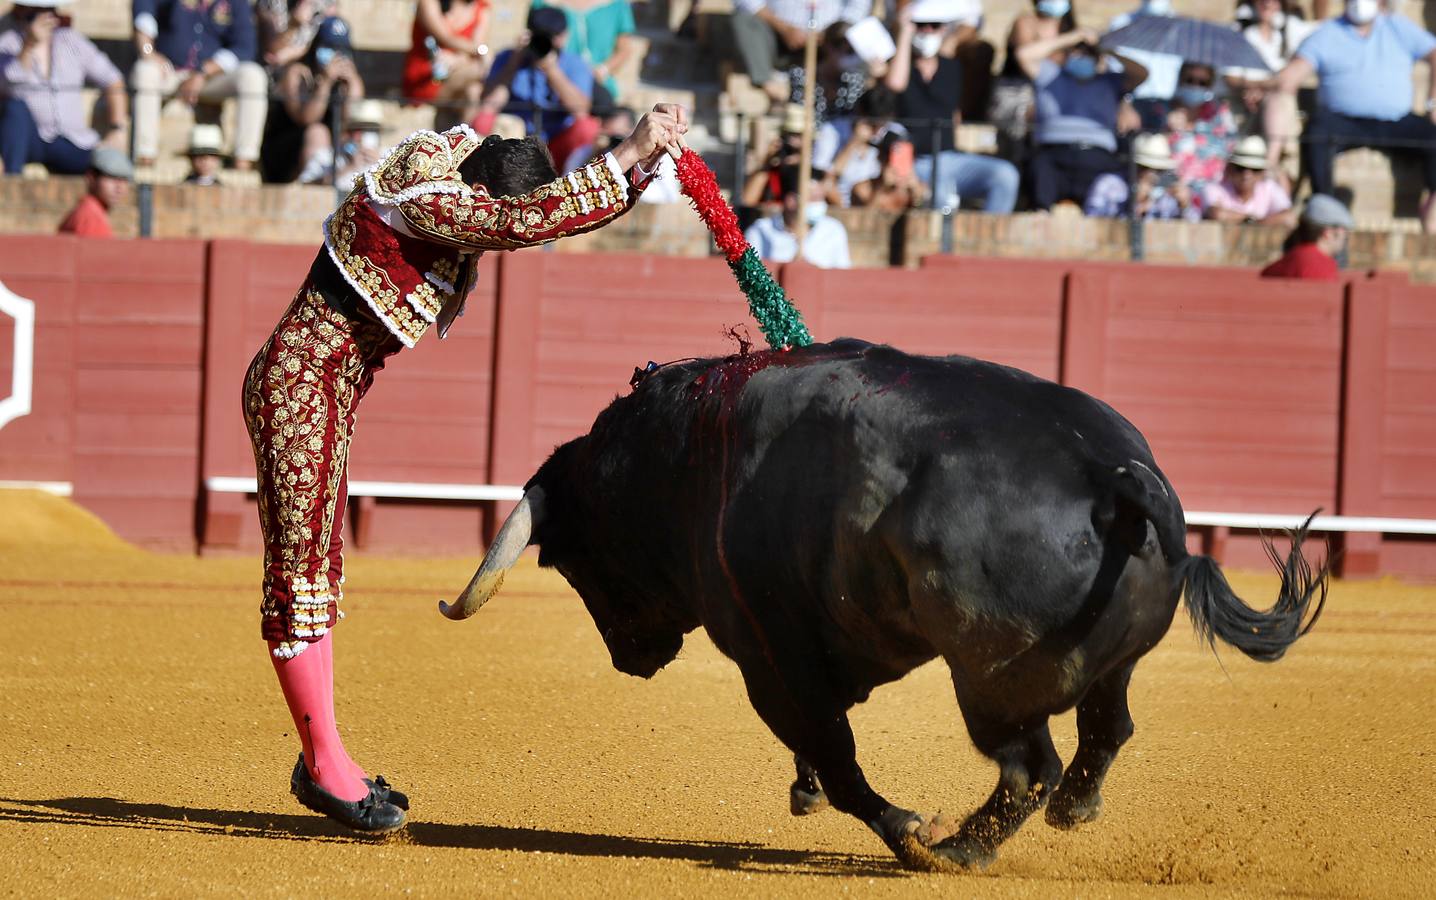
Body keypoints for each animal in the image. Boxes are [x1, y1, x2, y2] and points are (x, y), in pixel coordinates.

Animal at [439, 338, 1321, 872]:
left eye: (566, 561)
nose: (632, 658)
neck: (684, 456)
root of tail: (1115, 475)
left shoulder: (766, 652)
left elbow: (835, 753)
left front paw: (905, 829)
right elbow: (822, 746)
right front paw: (809, 794)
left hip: (990, 686)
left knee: (1029, 764)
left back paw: (957, 850)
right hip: (1110, 665)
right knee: (1105, 732)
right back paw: (1073, 813)